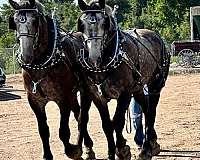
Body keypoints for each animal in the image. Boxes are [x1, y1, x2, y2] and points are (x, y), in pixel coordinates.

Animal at [8, 0, 94, 159]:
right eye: (15, 21)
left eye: (35, 20)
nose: (26, 56)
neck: (41, 65)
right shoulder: (35, 101)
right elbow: (43, 130)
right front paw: (47, 155)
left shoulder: (63, 99)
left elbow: (63, 131)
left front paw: (73, 150)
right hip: (73, 94)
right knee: (78, 113)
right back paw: (87, 146)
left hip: (83, 92)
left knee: (82, 116)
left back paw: (87, 147)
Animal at [76, 0, 170, 159]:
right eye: (81, 25)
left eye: (105, 23)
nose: (94, 58)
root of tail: (156, 36)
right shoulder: (97, 96)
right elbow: (107, 125)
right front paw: (111, 153)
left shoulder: (125, 93)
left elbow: (118, 121)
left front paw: (121, 149)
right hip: (138, 88)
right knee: (145, 109)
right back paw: (150, 144)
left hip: (155, 86)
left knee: (151, 113)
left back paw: (146, 148)